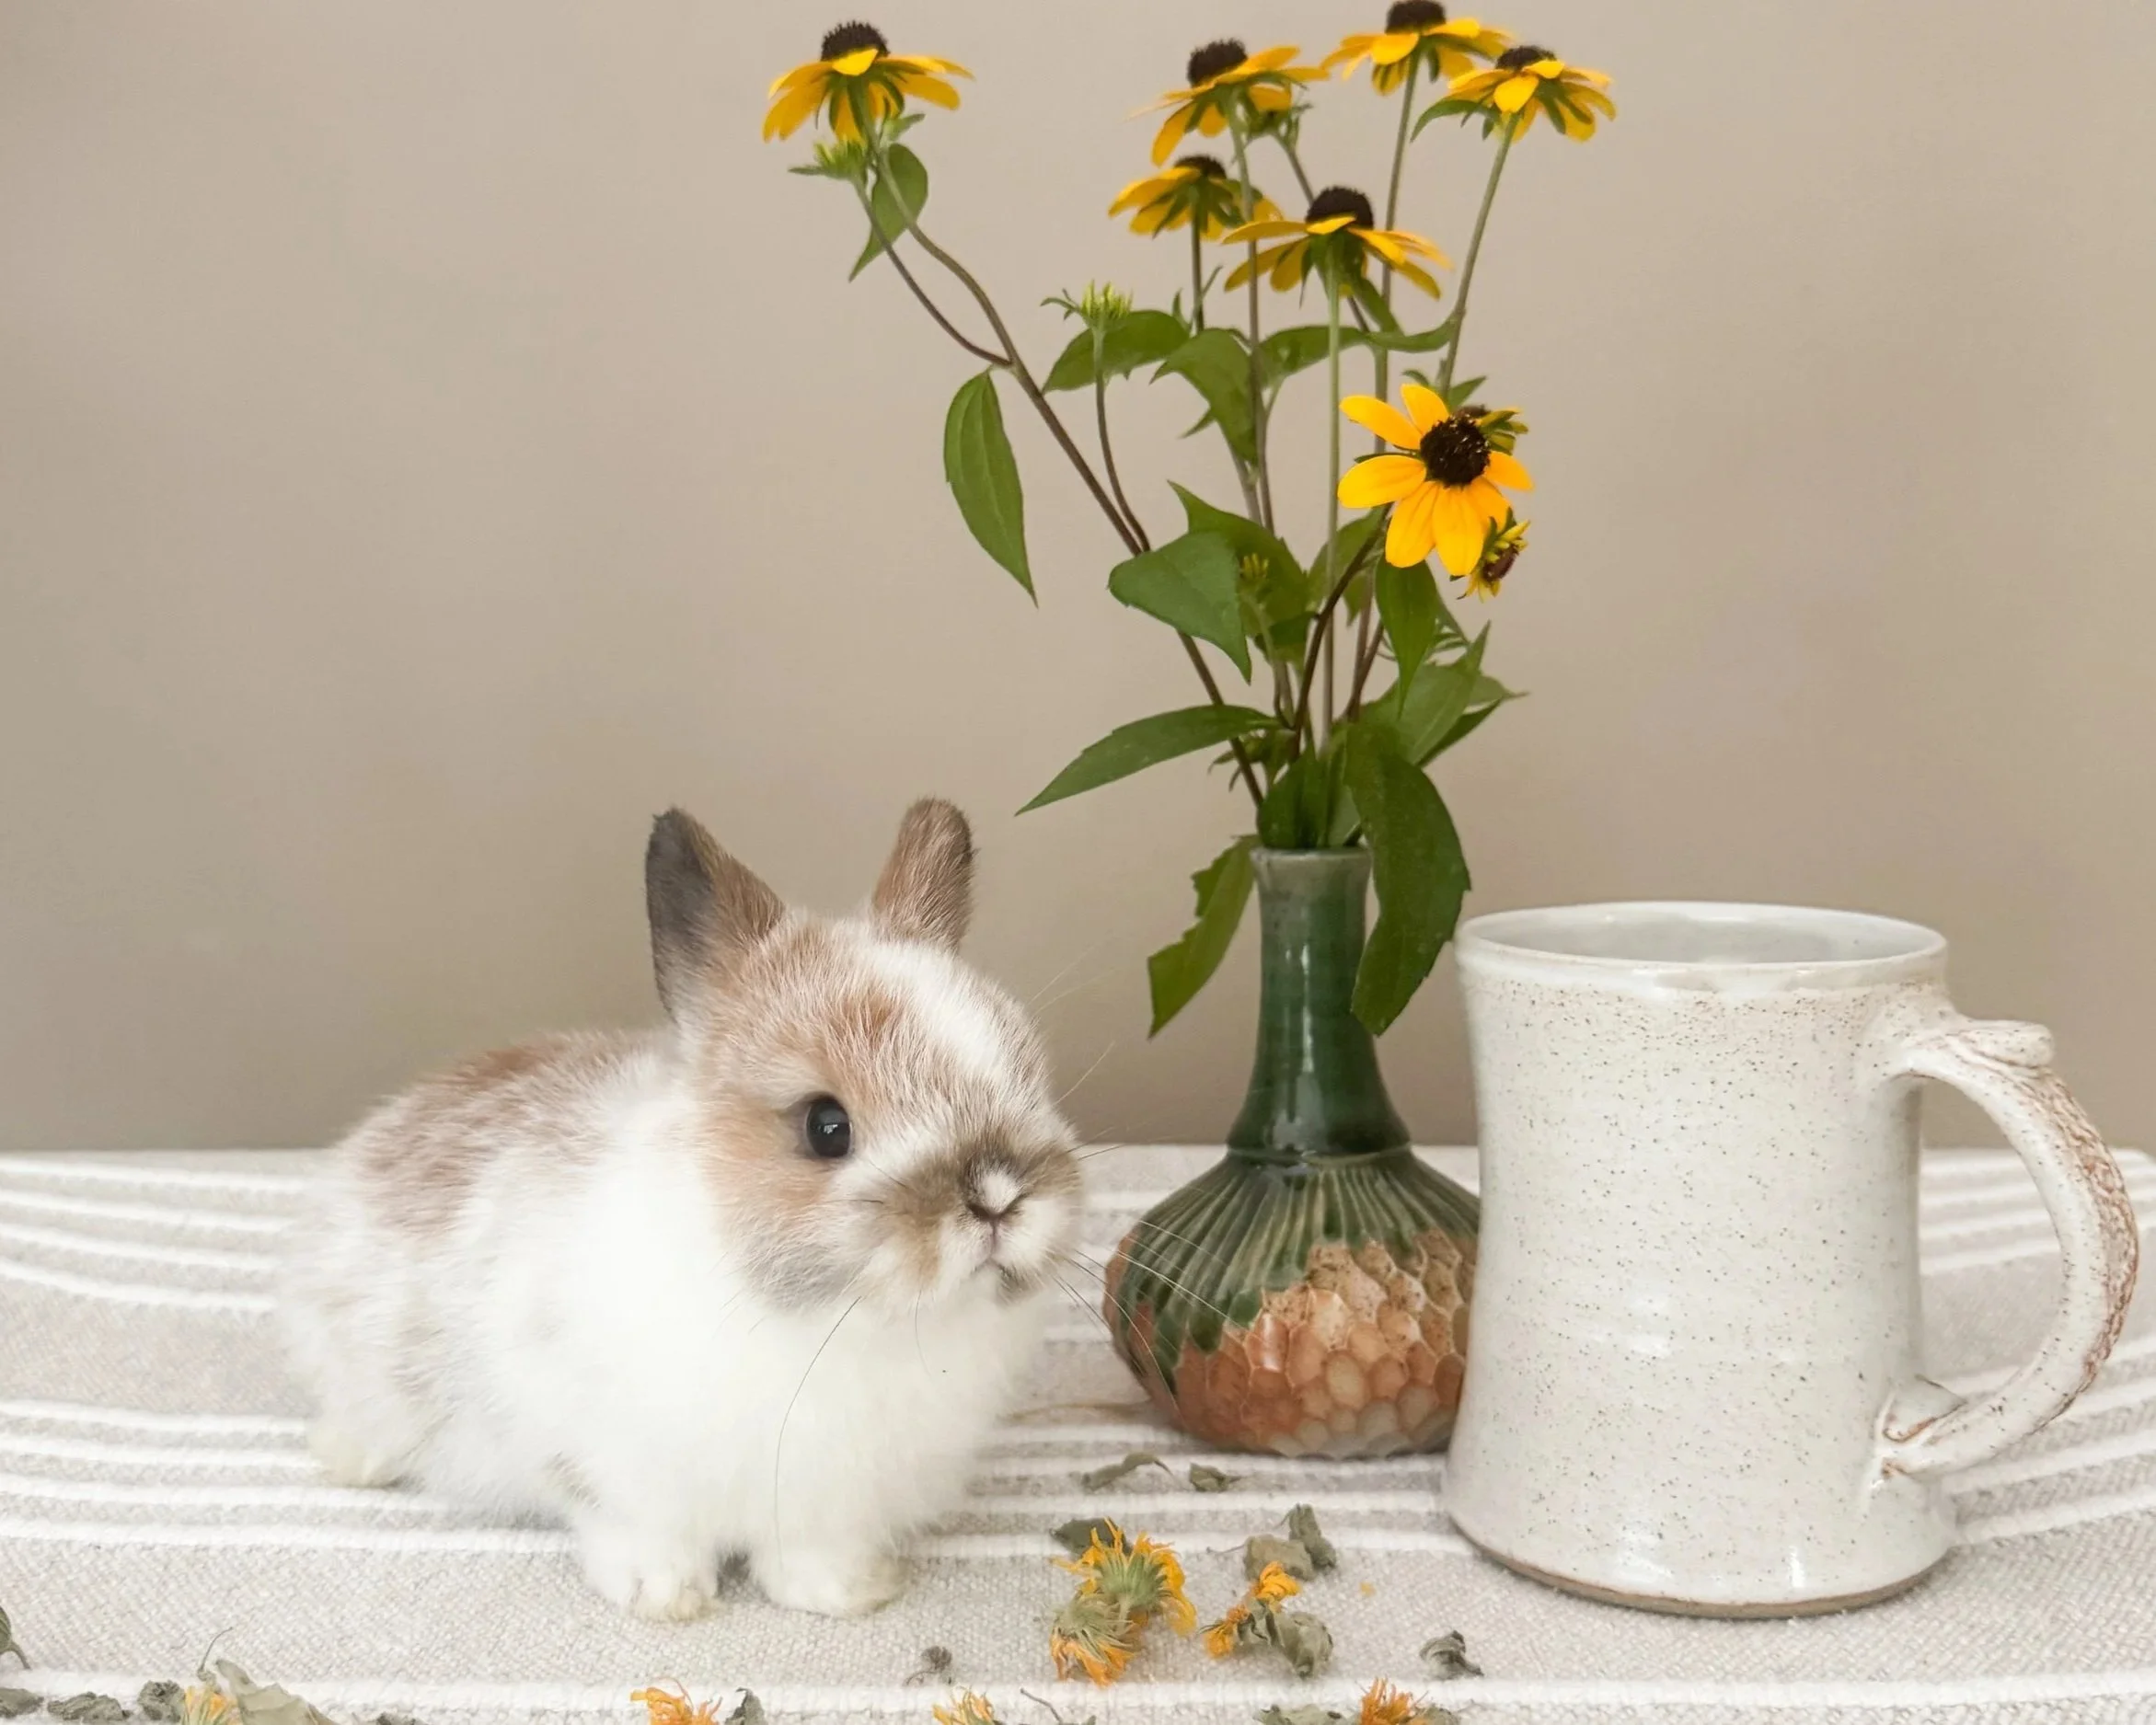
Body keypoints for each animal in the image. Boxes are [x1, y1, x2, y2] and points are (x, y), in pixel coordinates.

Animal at [280, 798, 1083, 1621]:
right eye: (826, 1126)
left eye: (1026, 1076)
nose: (997, 1195)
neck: (844, 1325)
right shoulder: (607, 1469)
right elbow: (637, 1530)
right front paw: (664, 1597)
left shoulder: (823, 1502)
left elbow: (812, 1553)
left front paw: (846, 1593)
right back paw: (352, 1458)